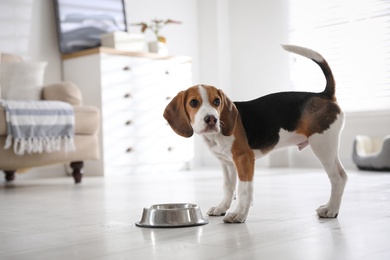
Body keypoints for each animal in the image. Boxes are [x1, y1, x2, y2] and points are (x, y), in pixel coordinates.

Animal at [163, 44, 346, 223]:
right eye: (193, 102)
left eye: (217, 101)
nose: (211, 119)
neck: (215, 136)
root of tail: (324, 95)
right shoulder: (227, 163)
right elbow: (228, 188)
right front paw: (222, 208)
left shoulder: (244, 159)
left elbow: (243, 189)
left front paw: (238, 214)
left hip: (322, 145)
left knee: (338, 177)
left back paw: (331, 210)